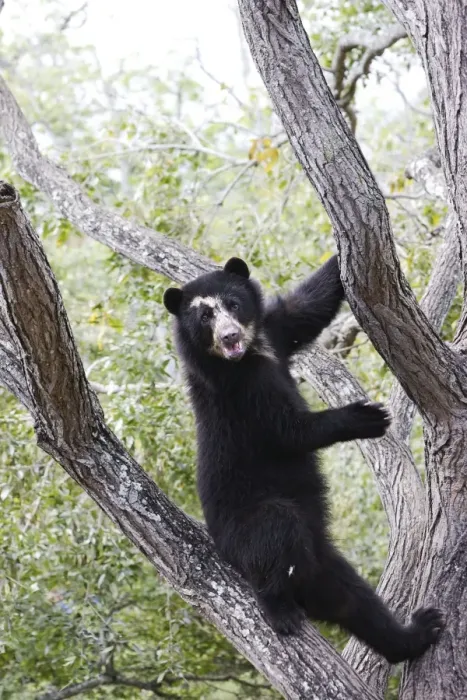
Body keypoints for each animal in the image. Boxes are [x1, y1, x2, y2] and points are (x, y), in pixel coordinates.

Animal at [163, 255, 443, 662]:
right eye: (204, 317)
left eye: (233, 304)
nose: (230, 337)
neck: (250, 354)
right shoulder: (240, 391)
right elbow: (289, 430)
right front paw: (367, 416)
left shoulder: (276, 332)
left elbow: (308, 307)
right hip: (244, 531)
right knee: (276, 527)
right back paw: (279, 608)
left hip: (325, 564)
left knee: (355, 602)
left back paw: (417, 632)